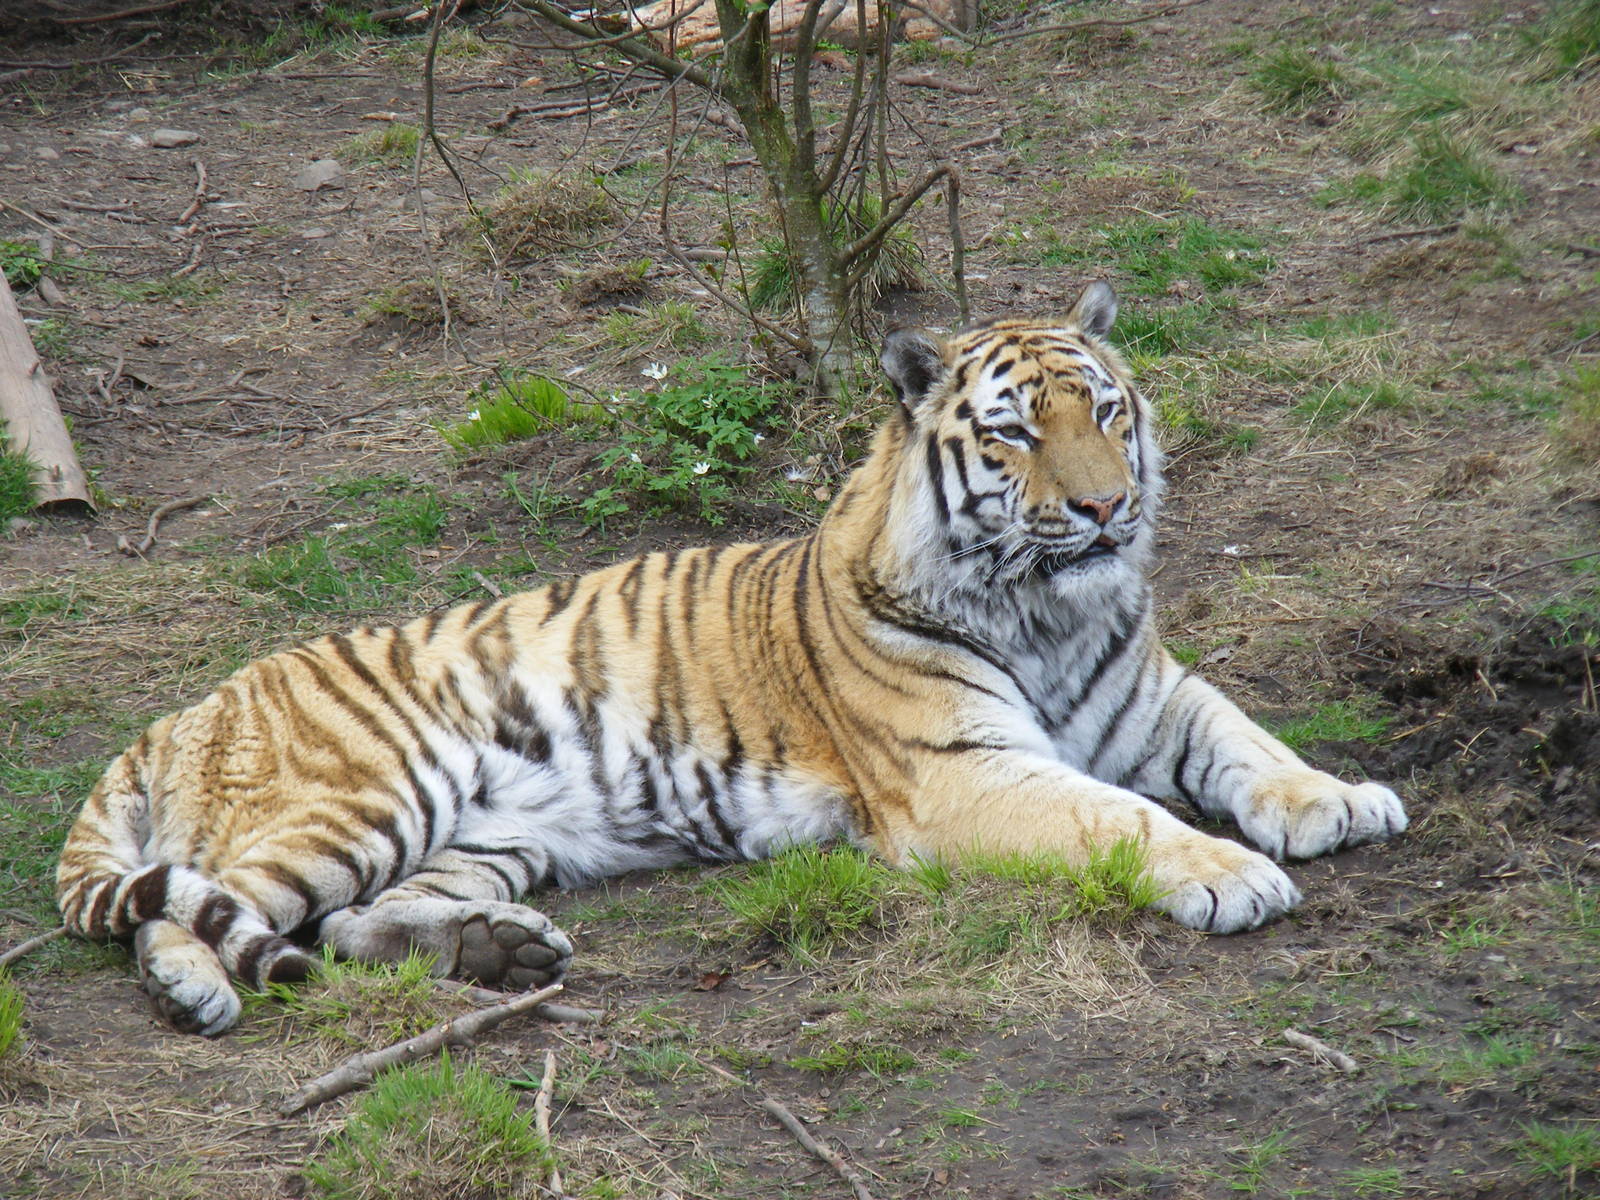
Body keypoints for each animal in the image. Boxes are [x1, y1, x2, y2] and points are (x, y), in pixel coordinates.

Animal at [55, 281, 1408, 1035]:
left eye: (1109, 411)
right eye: (1017, 434)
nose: (1105, 509)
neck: (1047, 609)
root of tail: (185, 708)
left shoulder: (1154, 697)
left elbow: (1246, 736)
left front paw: (1336, 801)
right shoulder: (959, 772)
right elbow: (1116, 816)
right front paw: (1229, 874)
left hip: (492, 835)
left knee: (350, 926)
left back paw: (500, 953)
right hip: (366, 793)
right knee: (196, 904)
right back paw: (197, 993)